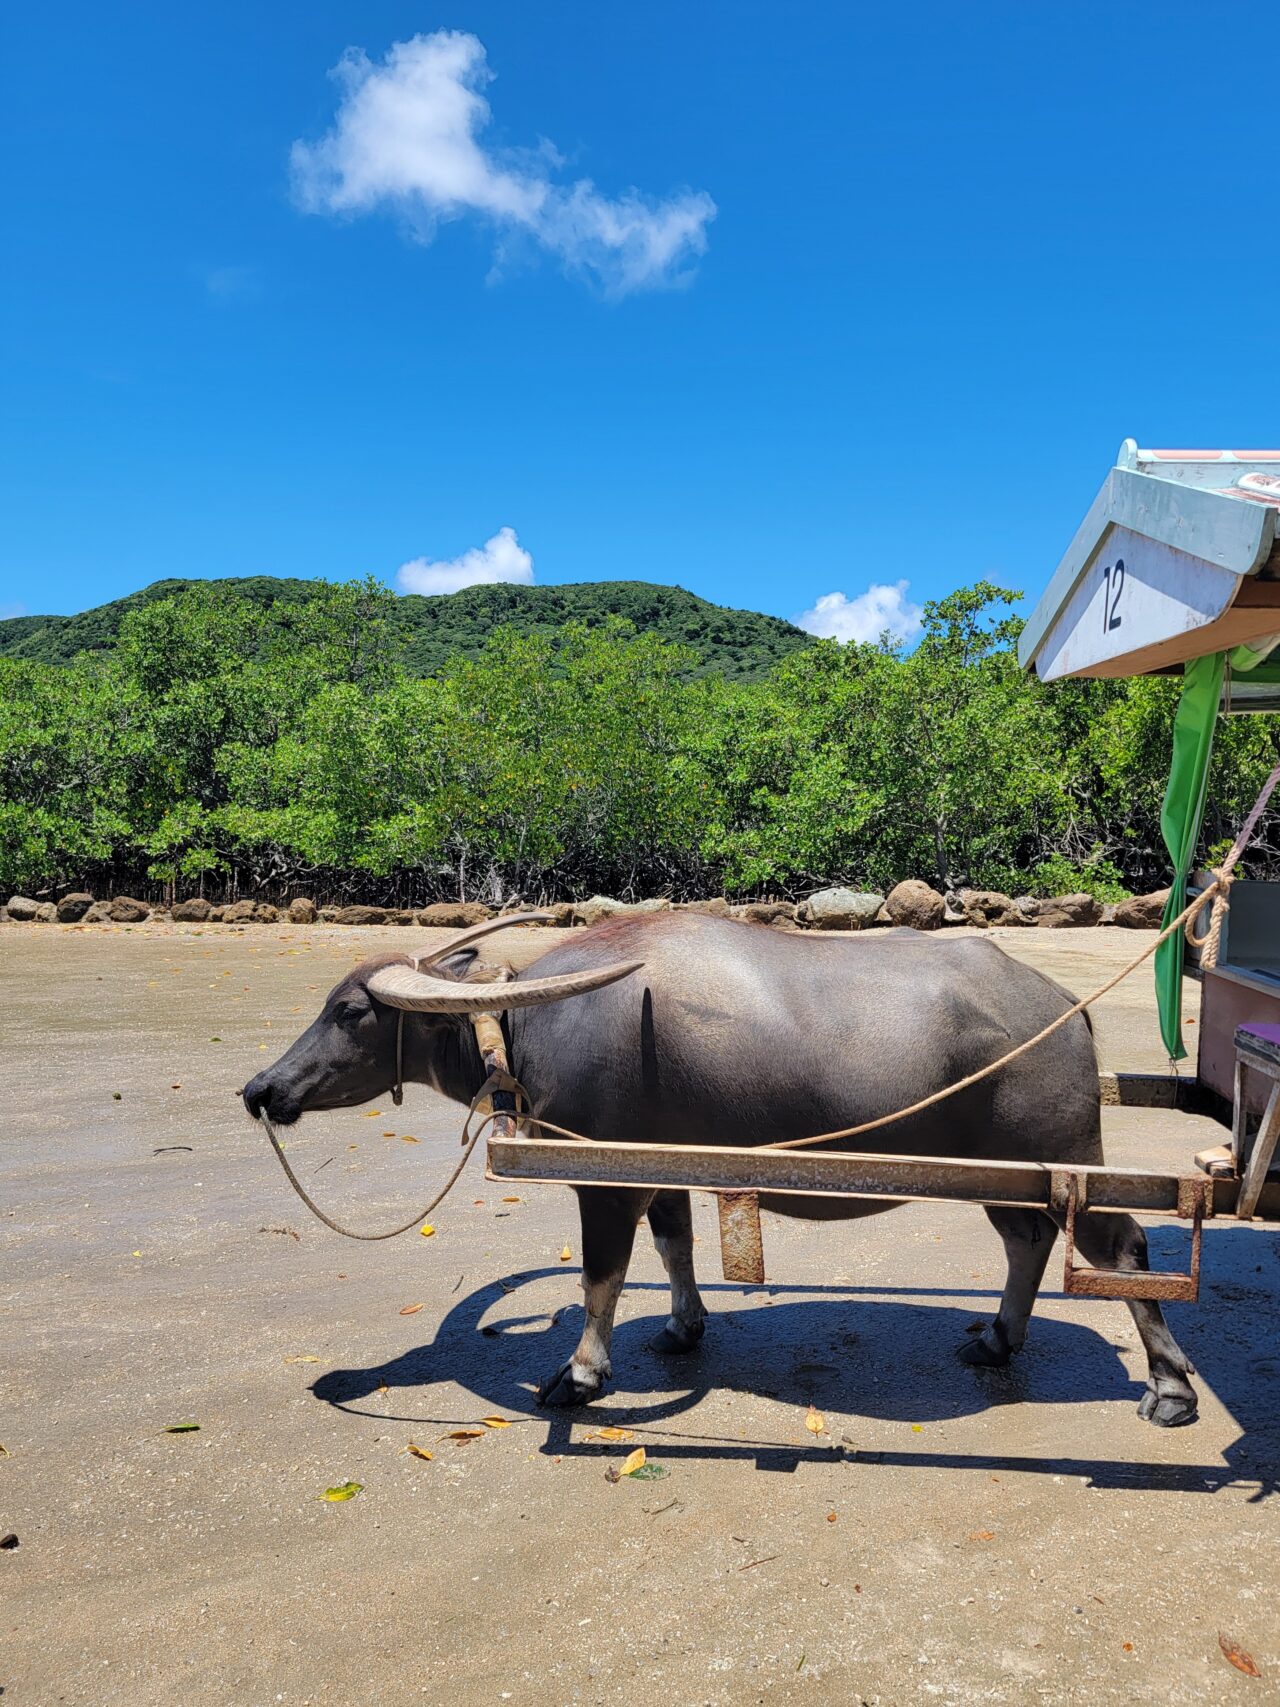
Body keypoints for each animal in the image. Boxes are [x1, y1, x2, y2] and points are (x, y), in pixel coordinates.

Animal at [242, 921, 1201, 1427]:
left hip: (1069, 1157)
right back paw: (999, 1338)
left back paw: (1169, 1388)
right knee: (1028, 1240)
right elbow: (674, 1246)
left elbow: (602, 1275)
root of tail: (1066, 1009)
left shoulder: (604, 1179)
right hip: (1003, 1171)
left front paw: (580, 1375)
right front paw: (682, 1326)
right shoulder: (662, 1168)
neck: (521, 1023)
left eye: (351, 1011)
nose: (261, 1090)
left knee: (1125, 1249)